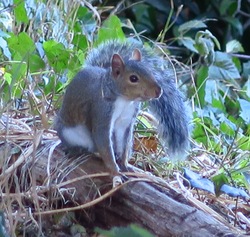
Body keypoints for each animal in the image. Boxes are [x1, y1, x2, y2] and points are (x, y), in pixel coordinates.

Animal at [54, 40, 190, 176]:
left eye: (151, 71)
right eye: (133, 78)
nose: (158, 91)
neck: (125, 101)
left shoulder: (126, 119)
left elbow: (122, 141)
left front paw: (124, 165)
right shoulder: (101, 110)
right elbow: (104, 141)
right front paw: (115, 170)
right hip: (69, 133)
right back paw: (77, 149)